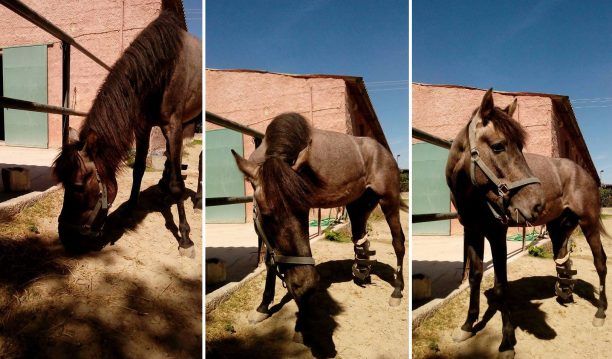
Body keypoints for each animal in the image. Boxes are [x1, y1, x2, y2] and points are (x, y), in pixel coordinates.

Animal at [52, 0, 201, 258]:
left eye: (78, 186)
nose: (65, 238)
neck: (164, 69)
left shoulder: (173, 125)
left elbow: (176, 182)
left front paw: (185, 238)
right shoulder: (142, 126)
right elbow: (138, 168)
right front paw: (131, 208)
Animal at [232, 114, 404, 342]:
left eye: (305, 208)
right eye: (267, 214)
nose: (305, 284)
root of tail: (383, 152)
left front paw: (303, 321)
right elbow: (270, 261)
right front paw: (263, 307)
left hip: (389, 200)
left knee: (398, 242)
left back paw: (397, 291)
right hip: (359, 206)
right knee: (361, 240)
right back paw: (362, 274)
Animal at [444, 89, 608, 358]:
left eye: (521, 147)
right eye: (498, 146)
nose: (536, 204)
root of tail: (584, 173)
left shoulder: (497, 233)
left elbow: (501, 286)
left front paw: (506, 343)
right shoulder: (474, 231)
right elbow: (475, 276)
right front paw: (468, 326)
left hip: (589, 222)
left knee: (600, 261)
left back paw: (601, 312)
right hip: (559, 227)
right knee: (563, 259)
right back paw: (565, 293)